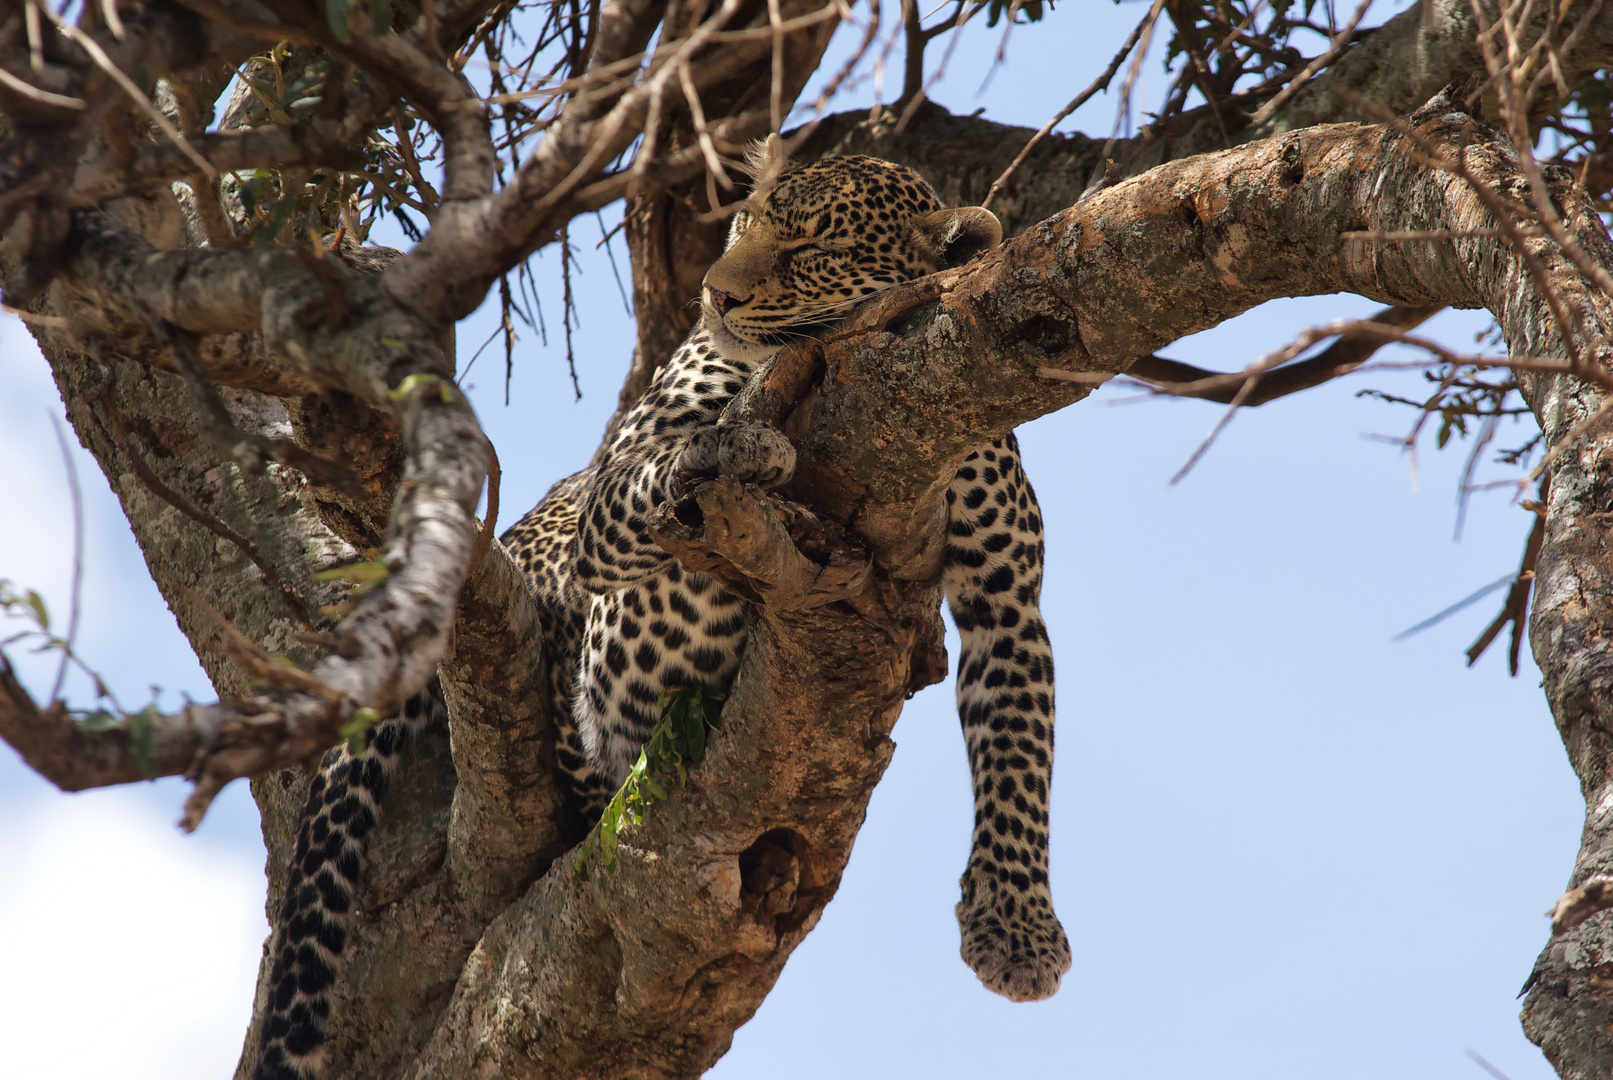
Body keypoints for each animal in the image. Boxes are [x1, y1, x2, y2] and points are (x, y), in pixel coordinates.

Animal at [251, 137, 1071, 1080]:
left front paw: (1017, 928)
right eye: (746, 224)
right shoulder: (615, 506)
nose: (716, 293)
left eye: (811, 251)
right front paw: (738, 443)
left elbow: (1019, 752)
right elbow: (668, 467)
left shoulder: (1007, 599)